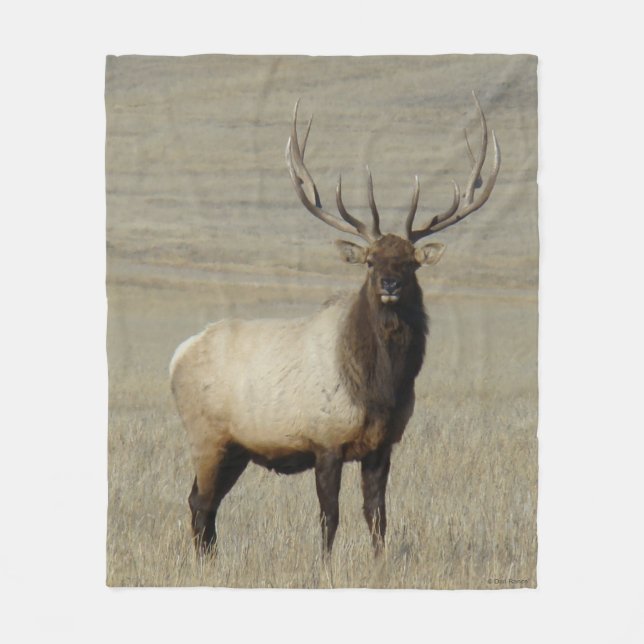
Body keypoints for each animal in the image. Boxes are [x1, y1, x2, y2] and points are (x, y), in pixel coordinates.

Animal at [170, 92, 500, 556]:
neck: (380, 389)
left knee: (208, 506)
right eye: (370, 261)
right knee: (199, 503)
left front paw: (380, 563)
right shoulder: (324, 441)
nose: (390, 284)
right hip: (205, 435)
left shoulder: (383, 445)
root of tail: (178, 354)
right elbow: (330, 519)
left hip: (235, 448)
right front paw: (325, 565)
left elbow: (377, 517)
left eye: (410, 262)